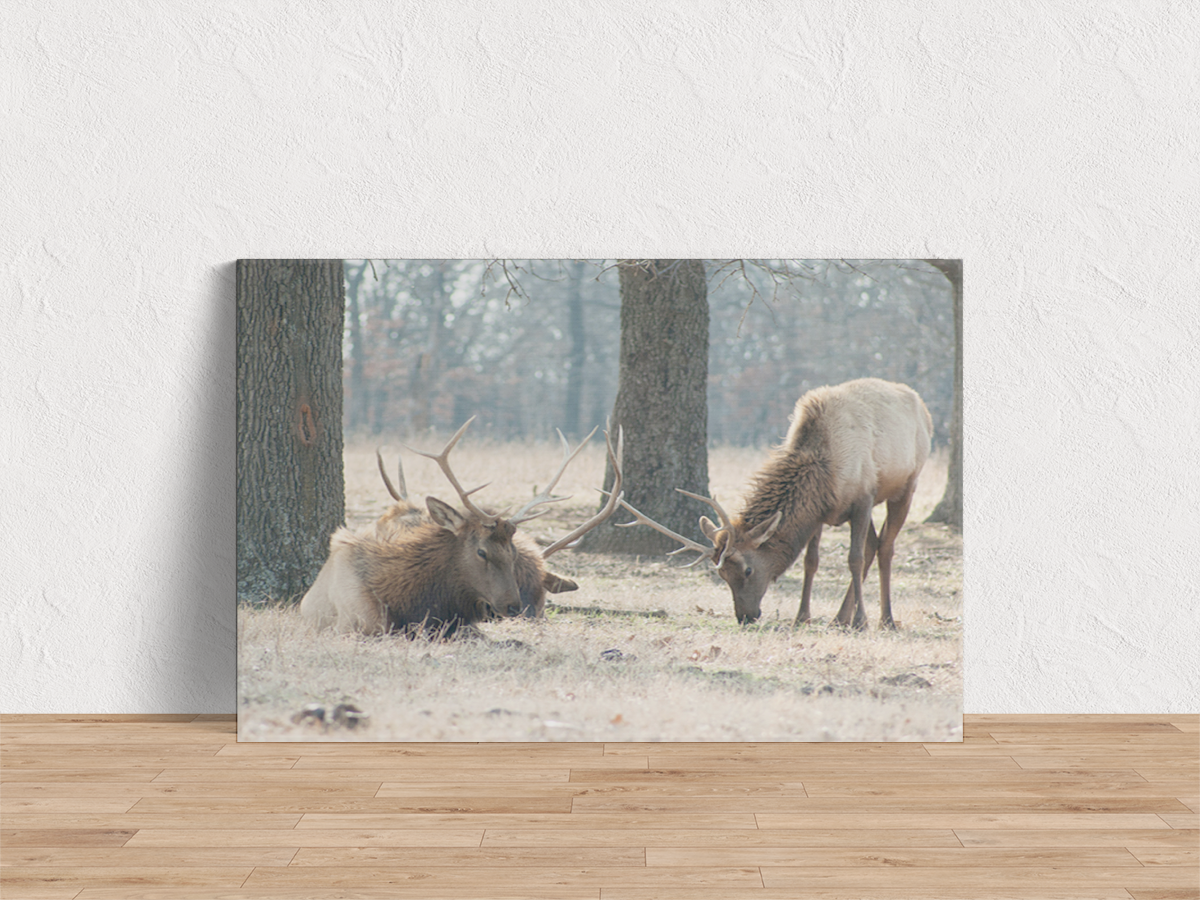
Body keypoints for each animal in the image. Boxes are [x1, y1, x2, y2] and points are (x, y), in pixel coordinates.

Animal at [617, 378, 932, 630]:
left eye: (747, 570)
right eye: (720, 573)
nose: (745, 616)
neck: (824, 472)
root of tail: (923, 407)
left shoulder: (863, 498)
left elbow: (853, 559)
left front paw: (861, 621)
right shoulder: (819, 513)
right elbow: (810, 561)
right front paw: (802, 617)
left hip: (908, 485)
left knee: (885, 547)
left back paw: (885, 619)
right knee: (873, 544)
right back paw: (840, 618)